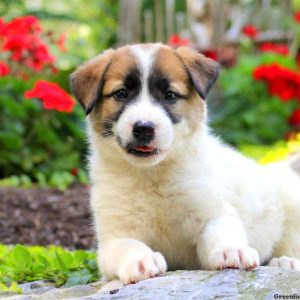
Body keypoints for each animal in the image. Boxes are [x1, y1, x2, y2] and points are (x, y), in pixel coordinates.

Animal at [69, 44, 300, 284]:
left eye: (170, 95)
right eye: (121, 94)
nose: (144, 128)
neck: (152, 174)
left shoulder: (213, 212)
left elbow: (221, 232)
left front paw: (231, 250)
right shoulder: (113, 238)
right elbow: (128, 246)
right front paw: (141, 261)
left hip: (290, 196)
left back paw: (286, 261)